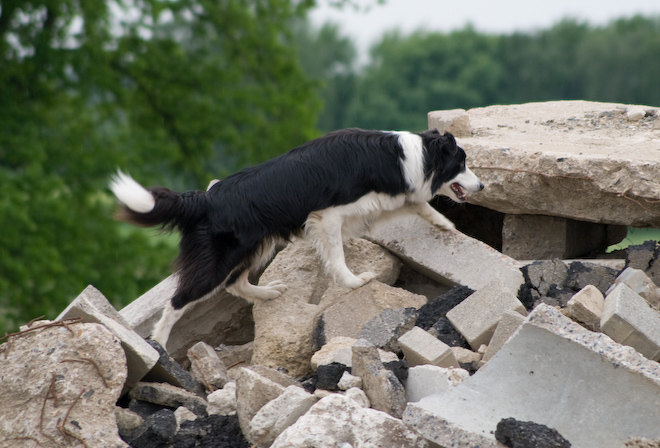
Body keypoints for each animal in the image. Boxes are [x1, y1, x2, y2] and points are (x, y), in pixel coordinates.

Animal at [111, 128, 484, 344]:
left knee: (235, 283)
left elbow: (418, 204)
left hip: (258, 244)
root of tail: (206, 198)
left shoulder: (385, 200)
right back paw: (159, 345)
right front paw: (354, 281)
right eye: (461, 163)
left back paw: (268, 294)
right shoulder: (326, 216)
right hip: (221, 258)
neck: (412, 154)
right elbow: (337, 257)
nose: (482, 186)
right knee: (179, 300)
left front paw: (445, 226)